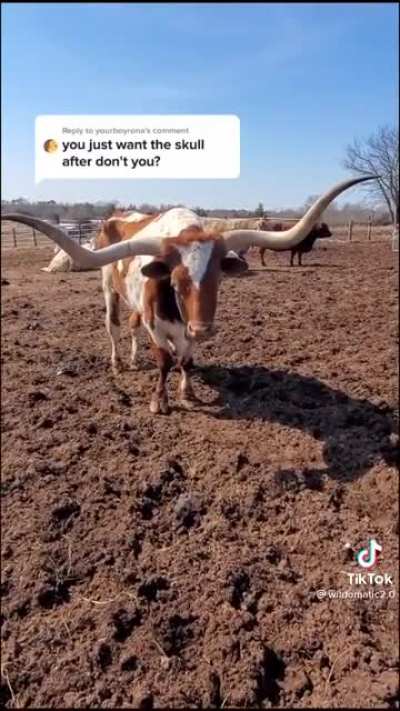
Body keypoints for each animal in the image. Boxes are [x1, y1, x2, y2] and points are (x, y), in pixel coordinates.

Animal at [1, 176, 376, 414]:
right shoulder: (157, 326)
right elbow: (165, 360)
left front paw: (188, 392)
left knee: (132, 327)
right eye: (177, 280)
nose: (203, 328)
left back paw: (134, 359)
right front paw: (160, 401)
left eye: (217, 278)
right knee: (114, 327)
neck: (179, 313)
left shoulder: (187, 330)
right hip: (108, 288)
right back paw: (119, 362)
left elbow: (185, 360)